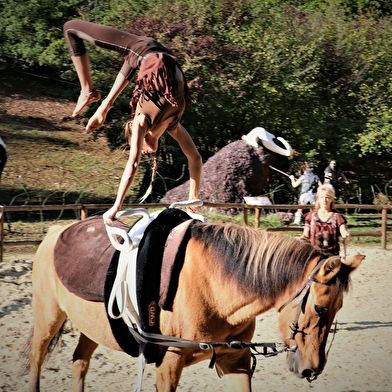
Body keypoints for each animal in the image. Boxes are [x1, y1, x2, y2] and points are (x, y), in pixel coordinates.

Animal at [24, 214, 362, 392]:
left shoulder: (236, 361)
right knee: (37, 357)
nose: (312, 369)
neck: (214, 287)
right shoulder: (168, 366)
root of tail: (56, 230)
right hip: (47, 318)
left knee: (80, 361)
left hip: (91, 328)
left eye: (337, 311)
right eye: (319, 308)